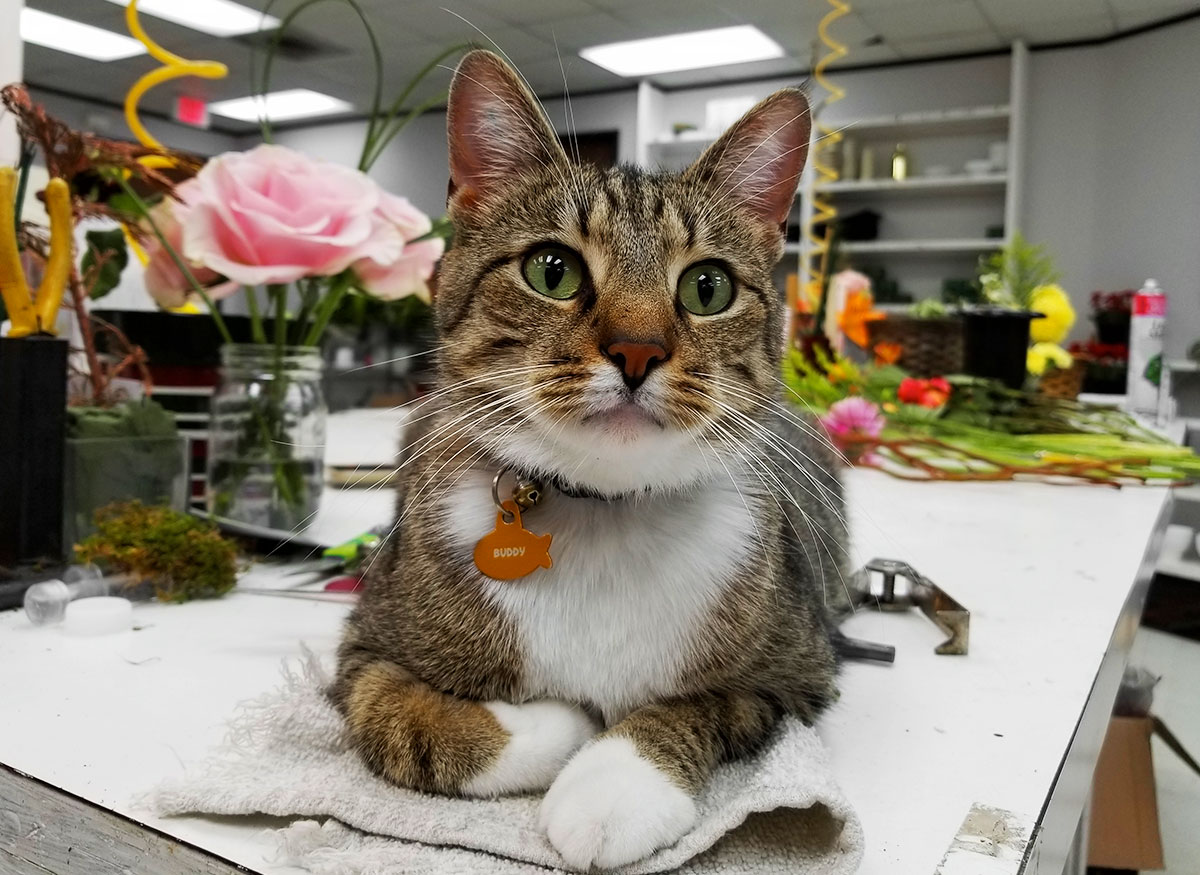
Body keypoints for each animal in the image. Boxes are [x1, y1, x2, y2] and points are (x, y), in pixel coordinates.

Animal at [331, 51, 844, 868]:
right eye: (552, 270)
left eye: (708, 287)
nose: (638, 349)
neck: (605, 514)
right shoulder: (364, 644)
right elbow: (401, 716)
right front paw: (561, 723)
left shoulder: (799, 672)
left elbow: (705, 704)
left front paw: (613, 783)